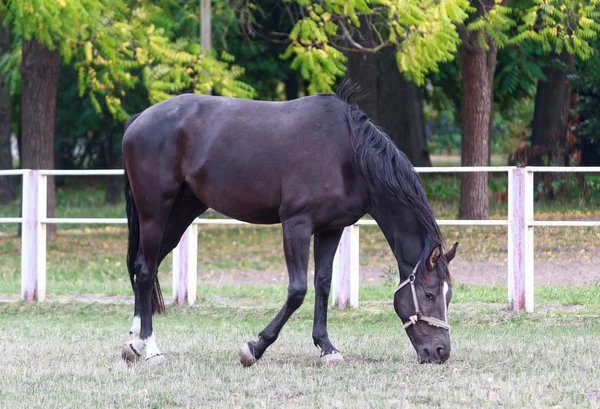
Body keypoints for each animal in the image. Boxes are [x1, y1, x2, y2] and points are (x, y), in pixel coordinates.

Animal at [122, 81, 460, 364]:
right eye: (429, 295)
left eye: (448, 295)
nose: (441, 352)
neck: (348, 154)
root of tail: (139, 119)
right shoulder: (296, 224)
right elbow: (297, 290)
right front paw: (255, 347)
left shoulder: (331, 228)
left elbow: (323, 284)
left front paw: (327, 348)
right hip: (155, 212)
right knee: (146, 271)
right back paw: (150, 348)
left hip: (181, 213)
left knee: (142, 267)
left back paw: (134, 343)